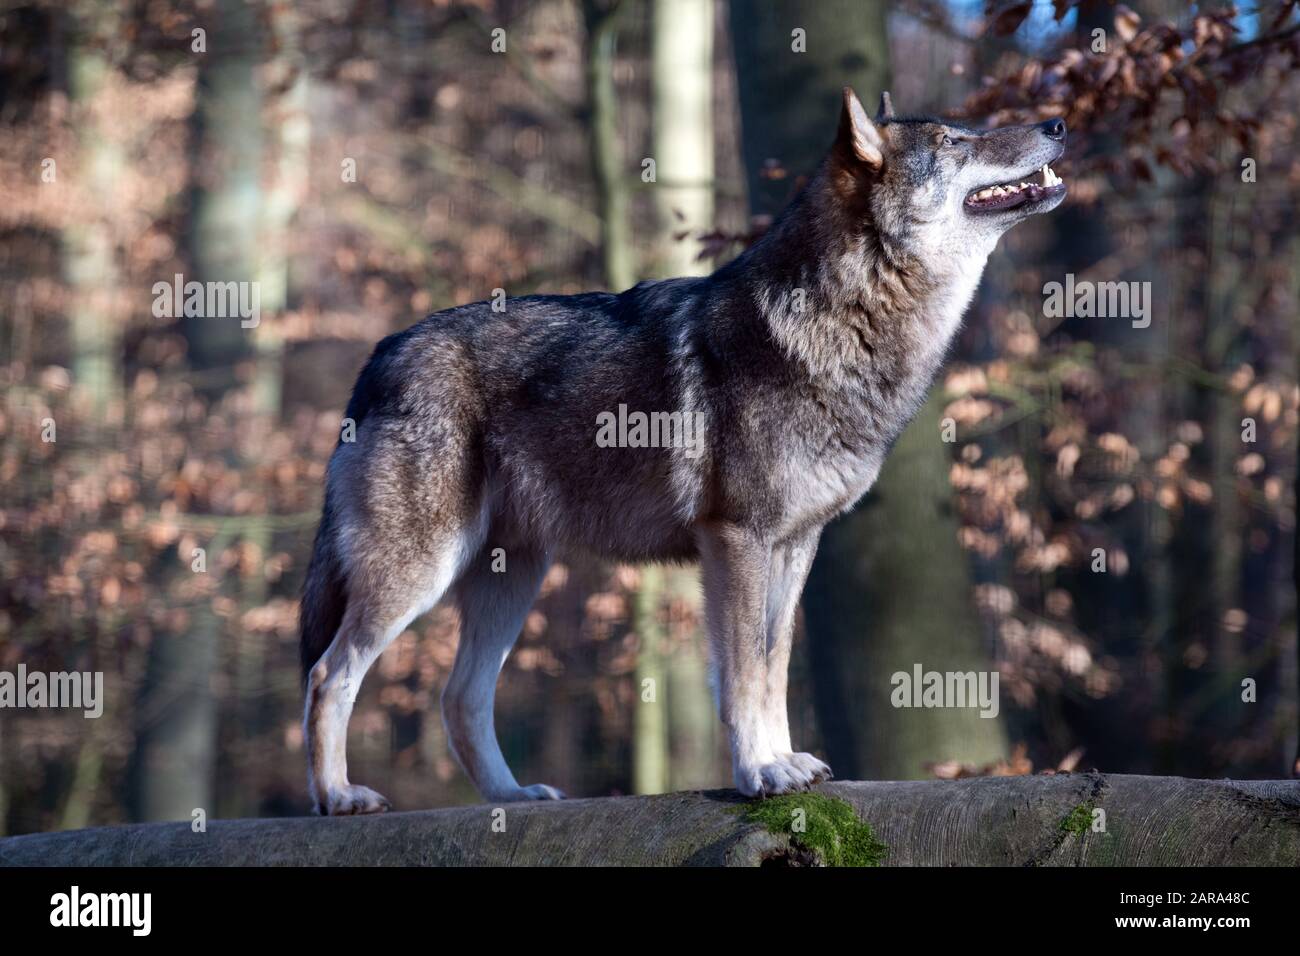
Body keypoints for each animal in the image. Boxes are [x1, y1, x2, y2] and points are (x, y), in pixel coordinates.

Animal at [301, 87, 1066, 816]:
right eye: (954, 140)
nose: (1057, 123)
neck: (836, 317)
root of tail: (380, 354)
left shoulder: (795, 546)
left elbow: (772, 667)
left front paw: (784, 763)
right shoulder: (737, 541)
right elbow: (743, 675)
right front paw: (760, 773)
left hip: (511, 577)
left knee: (459, 697)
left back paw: (511, 799)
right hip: (421, 572)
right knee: (328, 674)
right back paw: (338, 797)